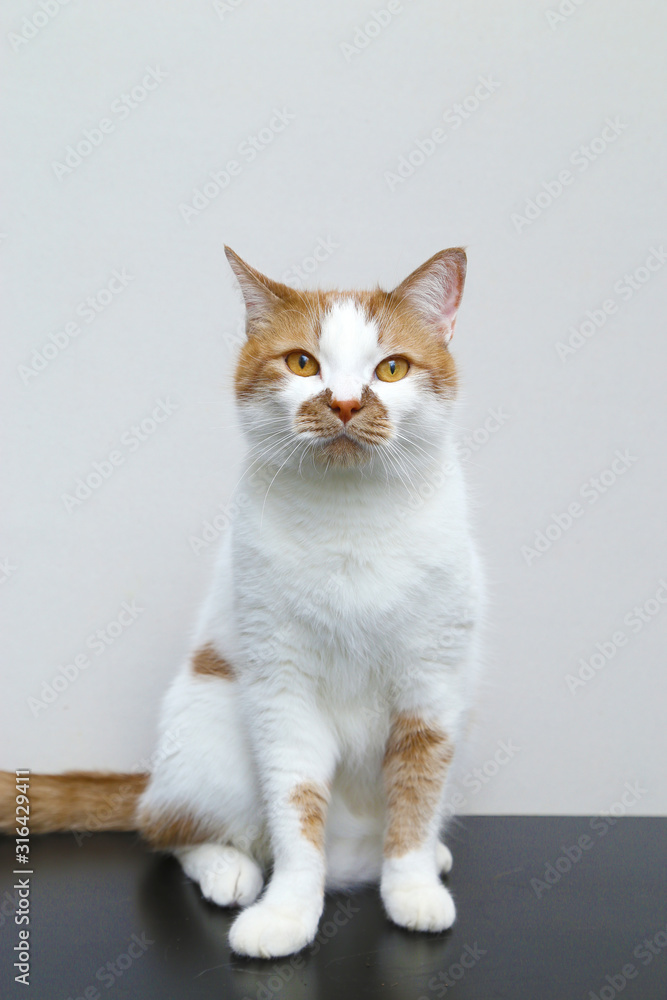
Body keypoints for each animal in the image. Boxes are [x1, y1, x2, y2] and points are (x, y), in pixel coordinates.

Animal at [0, 244, 482, 960]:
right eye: (302, 363)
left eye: (391, 368)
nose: (344, 403)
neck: (353, 523)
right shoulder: (282, 694)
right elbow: (296, 808)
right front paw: (286, 912)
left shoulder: (433, 692)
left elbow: (417, 801)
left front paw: (414, 887)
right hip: (213, 730)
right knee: (165, 827)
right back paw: (228, 869)